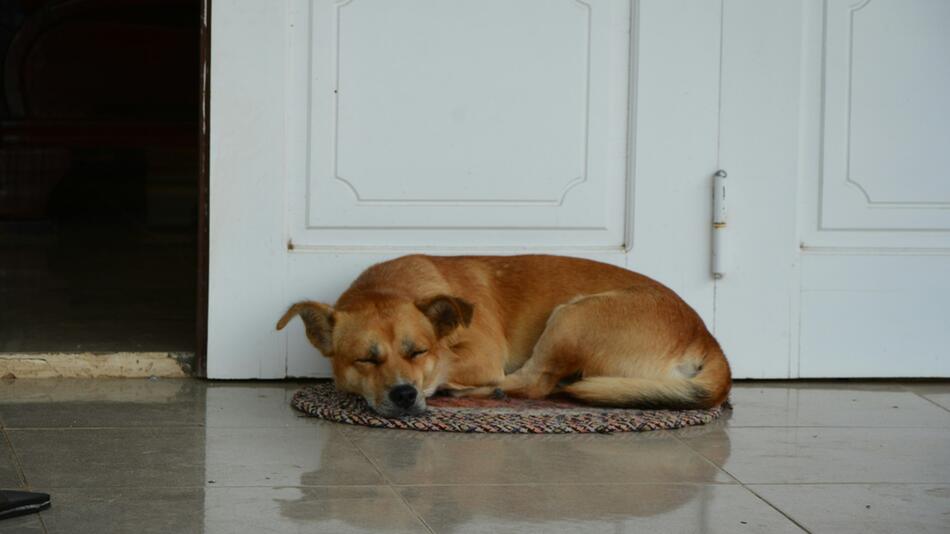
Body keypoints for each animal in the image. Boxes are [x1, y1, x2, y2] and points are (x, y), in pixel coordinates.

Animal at [278, 255, 732, 418]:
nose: (405, 394)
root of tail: (705, 334)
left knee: (536, 383)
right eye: (366, 359)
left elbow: (449, 366)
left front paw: (442, 384)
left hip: (572, 316)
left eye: (418, 351)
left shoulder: (482, 354)